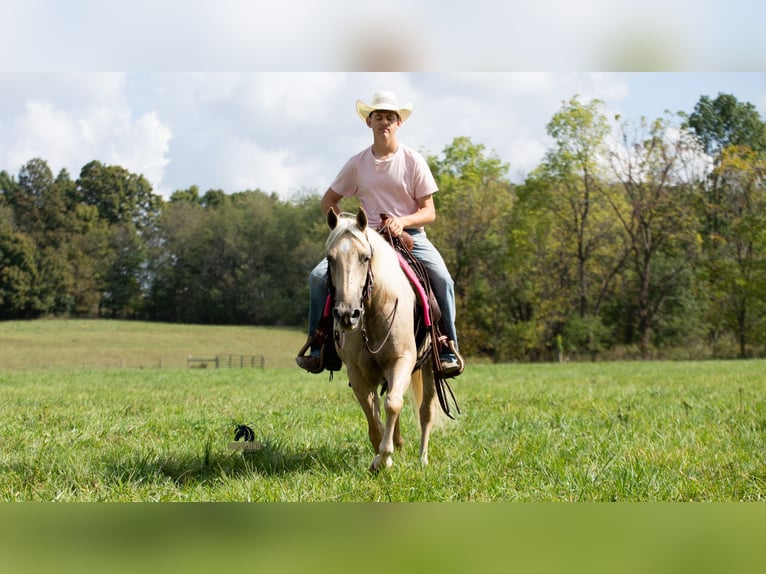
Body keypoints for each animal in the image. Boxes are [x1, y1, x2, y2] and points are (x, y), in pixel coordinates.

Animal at [325, 208, 442, 471]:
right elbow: (372, 412)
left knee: (426, 411)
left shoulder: (402, 360)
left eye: (365, 257)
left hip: (429, 365)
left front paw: (385, 456)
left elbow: (393, 404)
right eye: (330, 259)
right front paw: (381, 456)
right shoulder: (357, 372)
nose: (347, 314)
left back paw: (422, 459)